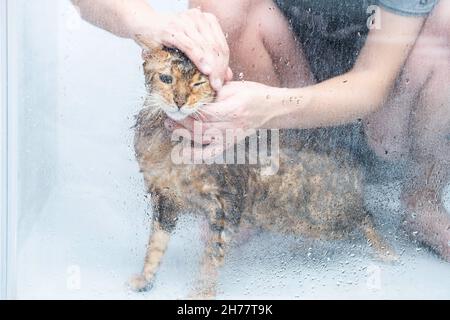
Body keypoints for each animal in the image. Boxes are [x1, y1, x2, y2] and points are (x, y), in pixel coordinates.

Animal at [127, 42, 394, 298]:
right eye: (166, 79)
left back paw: (387, 252)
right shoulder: (164, 200)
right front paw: (145, 279)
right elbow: (155, 245)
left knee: (365, 216)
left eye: (198, 83)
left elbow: (212, 254)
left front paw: (202, 292)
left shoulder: (225, 204)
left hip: (324, 215)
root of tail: (348, 158)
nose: (180, 101)